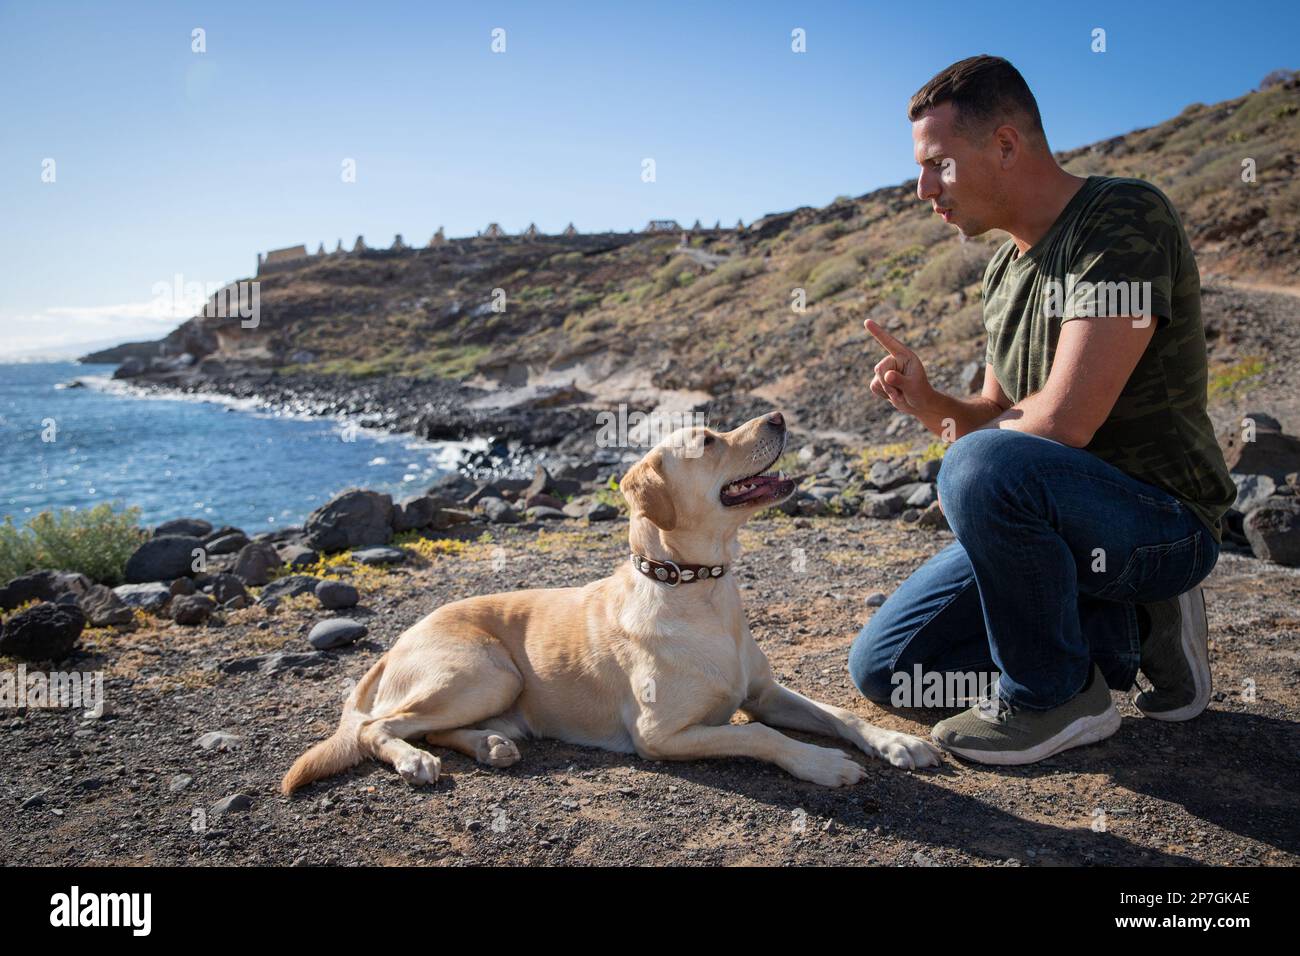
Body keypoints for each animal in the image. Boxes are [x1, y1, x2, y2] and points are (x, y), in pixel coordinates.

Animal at [282, 411, 935, 790]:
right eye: (707, 439)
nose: (777, 414)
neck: (699, 588)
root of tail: (395, 645)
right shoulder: (661, 734)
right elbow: (762, 738)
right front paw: (821, 764)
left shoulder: (765, 693)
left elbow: (840, 713)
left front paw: (898, 742)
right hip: (485, 672)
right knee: (378, 727)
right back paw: (411, 760)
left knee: (429, 727)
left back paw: (490, 745)